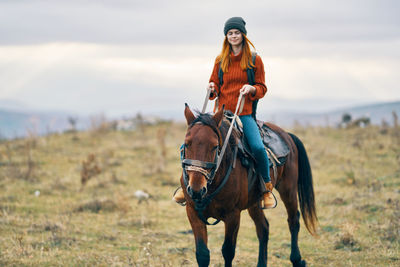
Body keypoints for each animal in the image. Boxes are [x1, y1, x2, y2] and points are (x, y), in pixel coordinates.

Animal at [180, 104, 316, 267]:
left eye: (214, 146)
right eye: (187, 144)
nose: (196, 190)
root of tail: (287, 135)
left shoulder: (233, 215)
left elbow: (228, 251)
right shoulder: (192, 211)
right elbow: (202, 254)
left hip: (288, 189)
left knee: (293, 220)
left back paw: (297, 259)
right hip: (255, 202)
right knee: (263, 228)